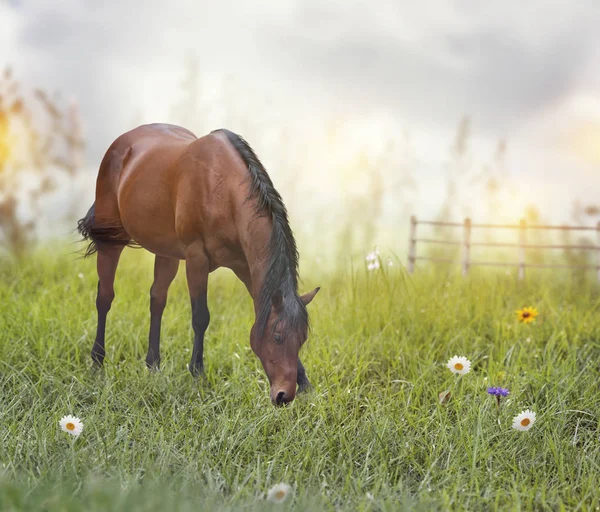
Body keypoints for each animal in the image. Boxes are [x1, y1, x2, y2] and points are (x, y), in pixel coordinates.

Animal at [78, 124, 322, 404]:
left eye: (301, 339)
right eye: (278, 336)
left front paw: (305, 383)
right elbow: (200, 317)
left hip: (167, 253)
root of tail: (121, 143)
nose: (284, 395)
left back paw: (153, 366)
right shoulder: (197, 259)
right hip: (112, 240)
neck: (223, 190)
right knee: (105, 297)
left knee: (157, 299)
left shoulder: (247, 268)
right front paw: (197, 374)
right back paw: (97, 361)